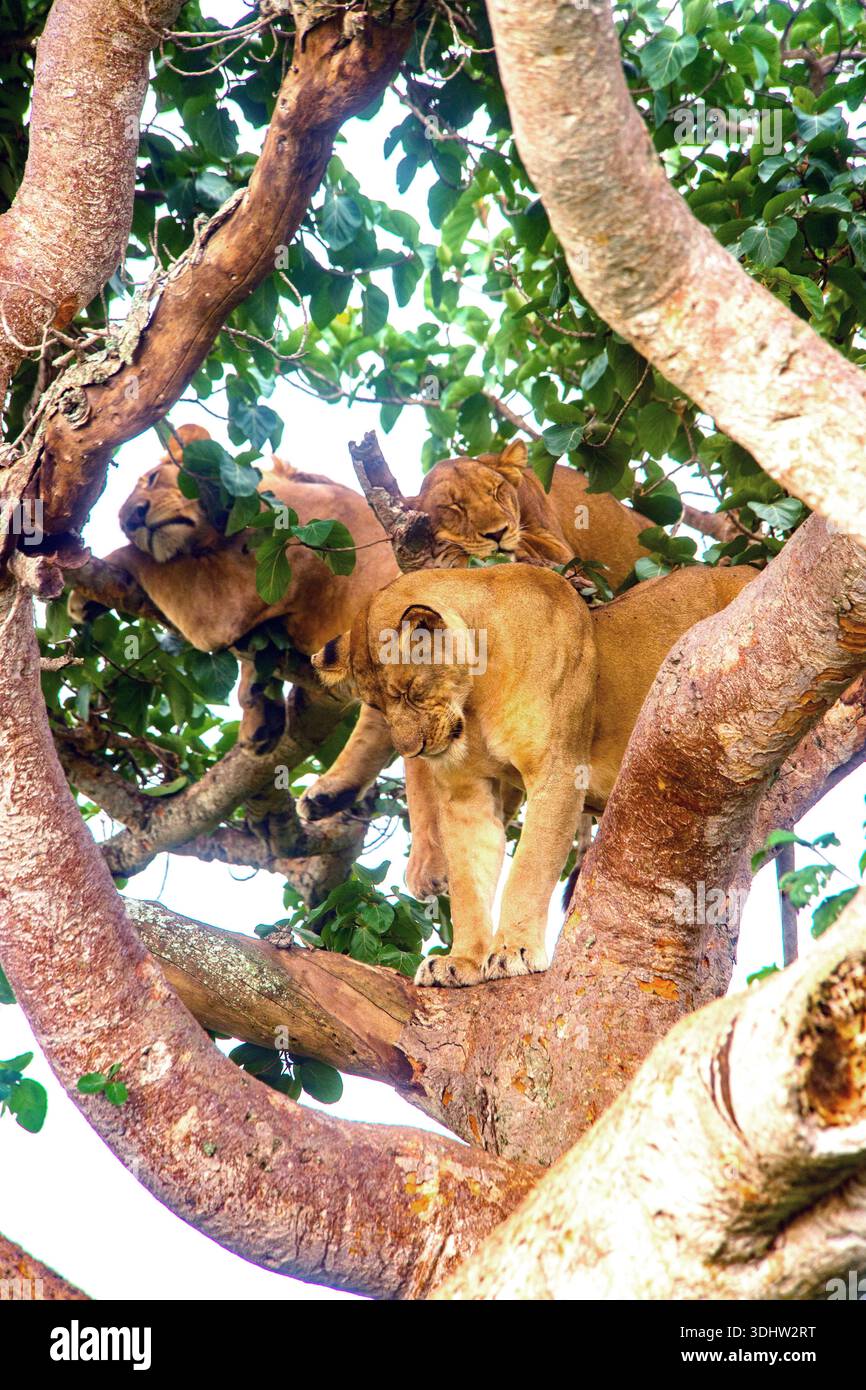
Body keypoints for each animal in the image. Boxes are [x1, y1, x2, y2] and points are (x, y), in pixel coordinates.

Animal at [311, 564, 598, 987]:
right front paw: (460, 961)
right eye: (377, 706)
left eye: (410, 691)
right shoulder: (466, 791)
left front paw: (513, 950)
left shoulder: (558, 769)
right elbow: (468, 880)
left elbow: (530, 868)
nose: (411, 750)